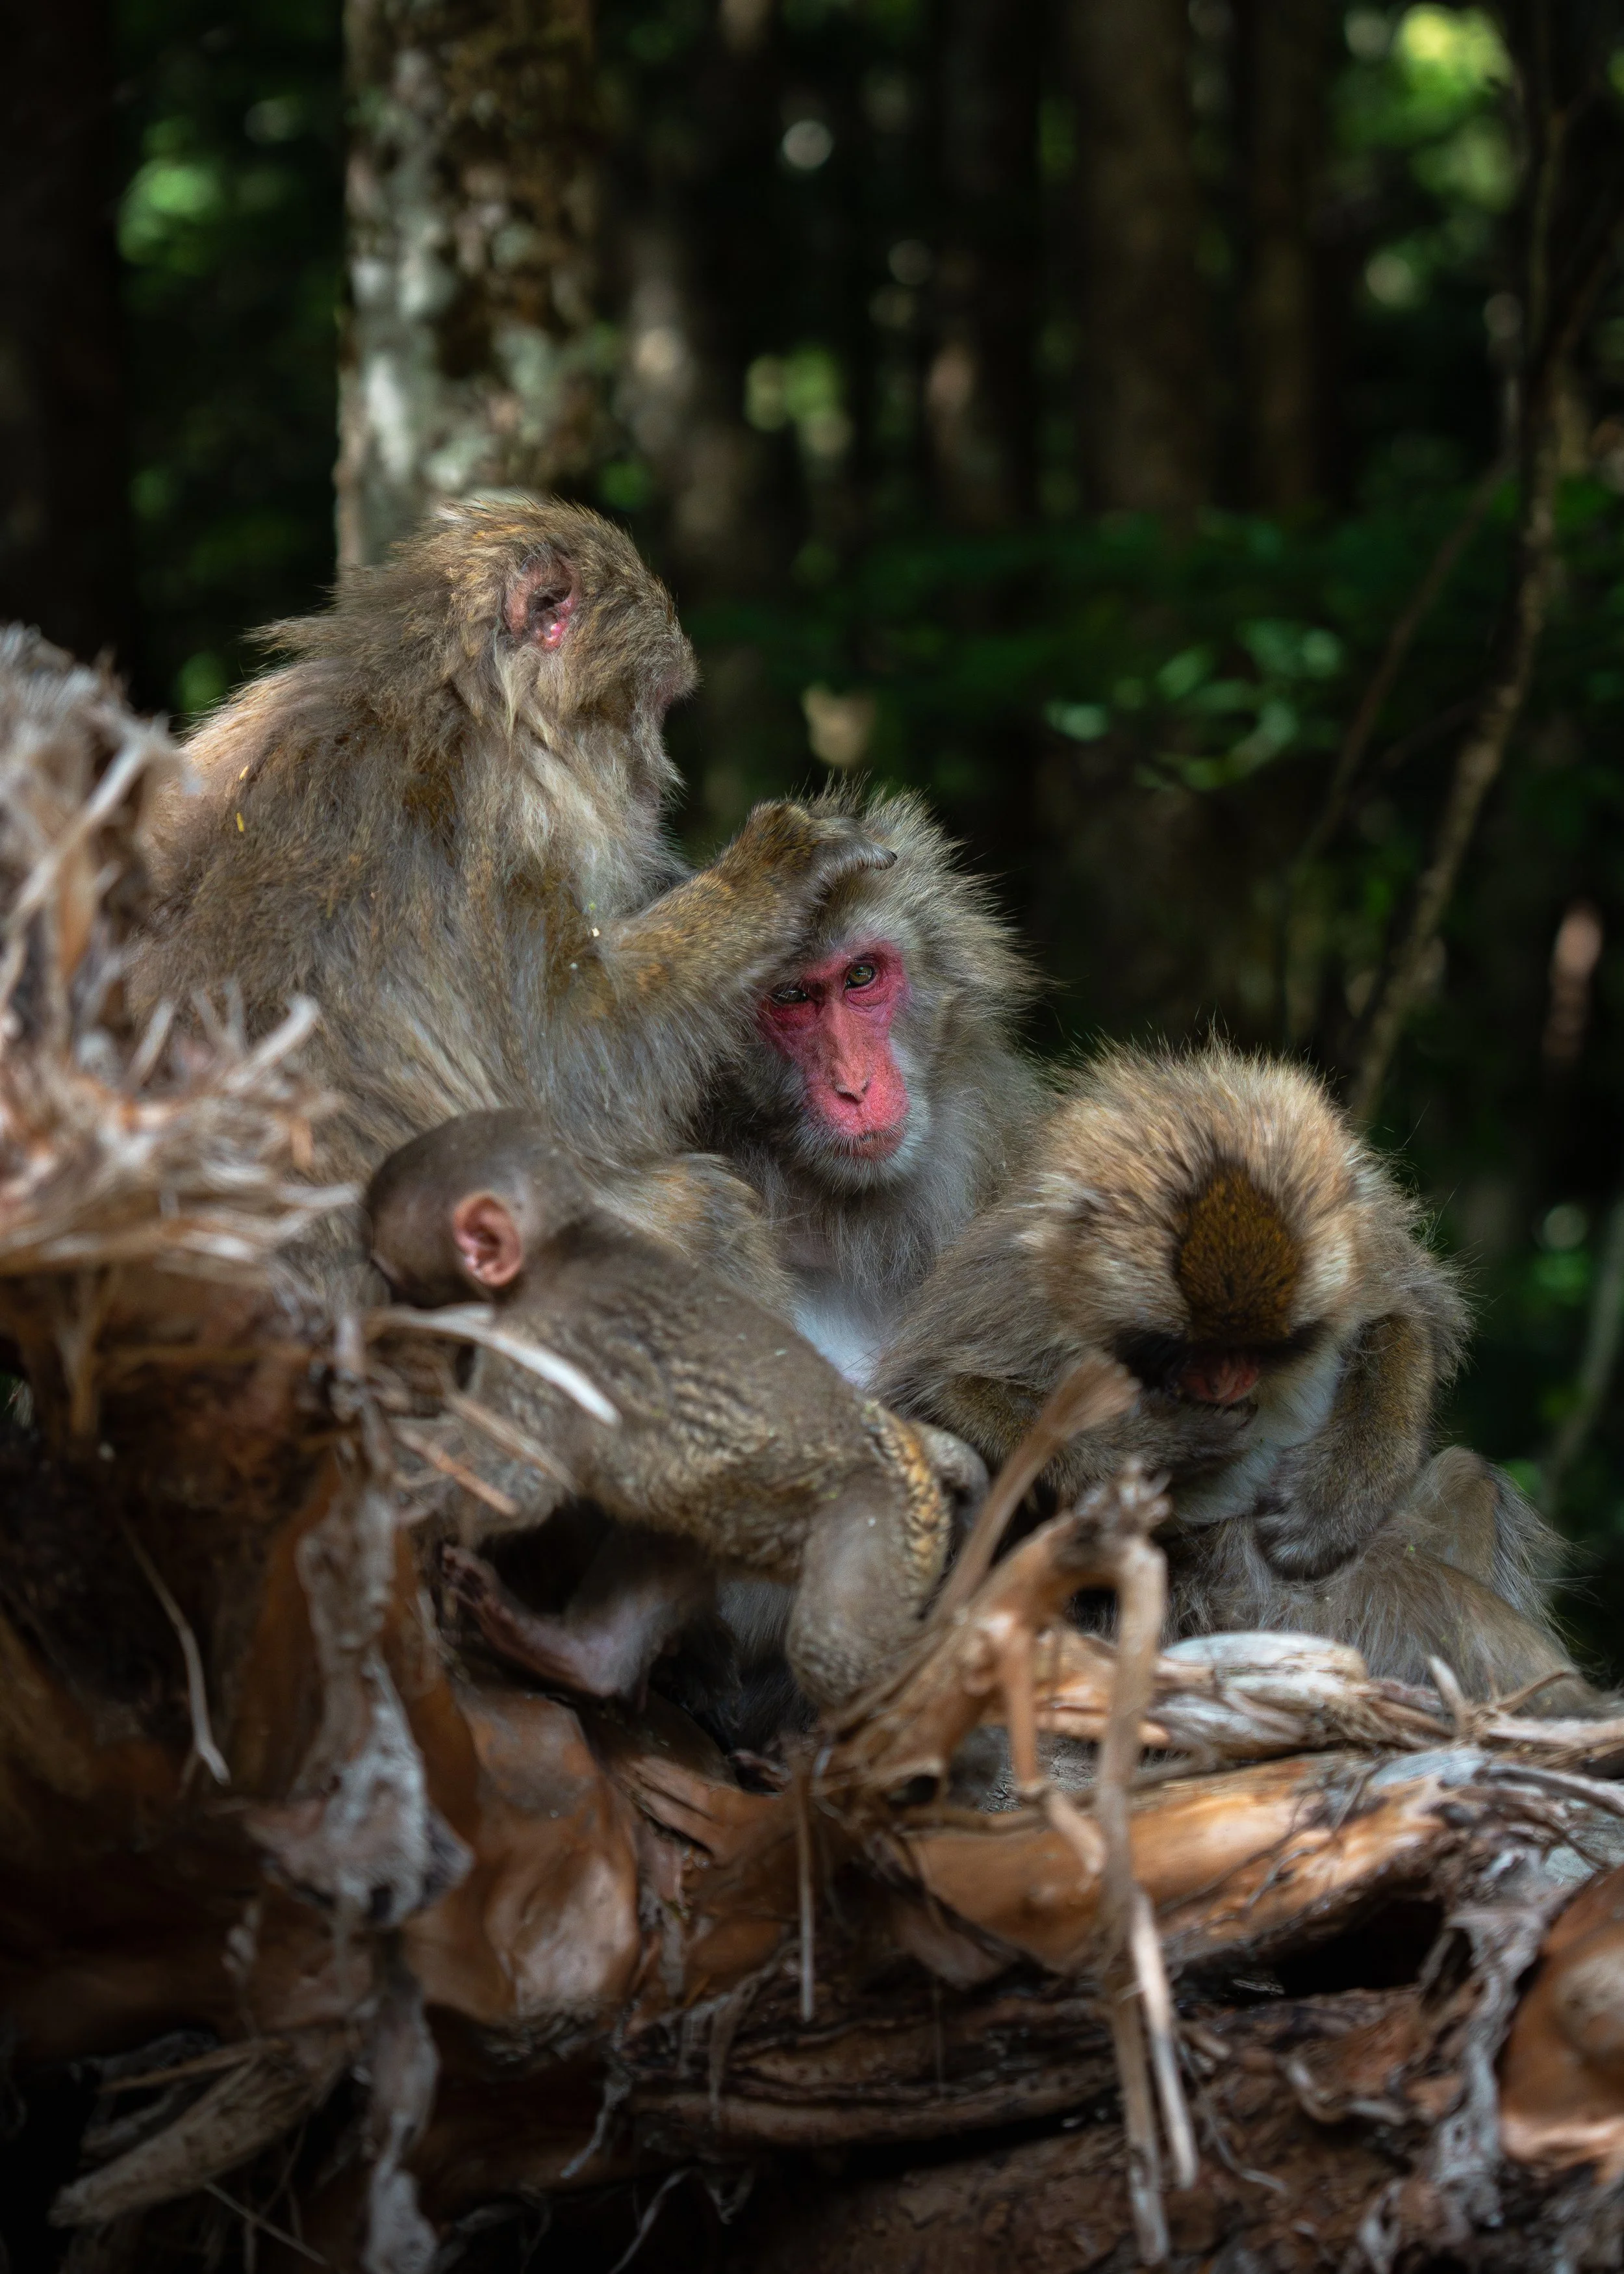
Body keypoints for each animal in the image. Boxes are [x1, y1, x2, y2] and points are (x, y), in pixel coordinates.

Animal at [133, 498, 890, 1289]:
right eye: (657, 706)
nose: (663, 780)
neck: (452, 700)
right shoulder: (513, 824)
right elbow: (576, 1065)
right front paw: (771, 873)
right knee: (700, 1209)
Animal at [364, 1110, 981, 1713]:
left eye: (392, 1273)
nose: (388, 1306)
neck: (566, 1247)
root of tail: (905, 1441)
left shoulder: (547, 1343)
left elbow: (509, 1483)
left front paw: (387, 1444)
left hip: (881, 1514)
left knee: (832, 1648)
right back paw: (580, 1656)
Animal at [876, 1039, 1586, 1701]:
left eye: (1272, 1345)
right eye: (1180, 1347)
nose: (1227, 1383)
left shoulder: (1369, 1231)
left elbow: (1411, 1320)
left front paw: (1337, 1494)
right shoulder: (1015, 1278)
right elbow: (936, 1390)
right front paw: (1155, 1448)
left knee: (1467, 1479)